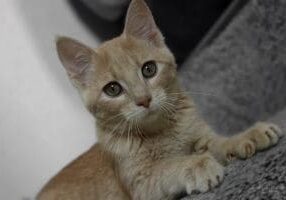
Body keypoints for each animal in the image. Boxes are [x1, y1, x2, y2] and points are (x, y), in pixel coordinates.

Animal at [36, 0, 282, 199]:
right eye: (113, 89)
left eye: (149, 69)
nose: (144, 99)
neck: (161, 132)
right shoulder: (141, 184)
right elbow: (167, 168)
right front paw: (197, 165)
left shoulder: (200, 136)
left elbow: (218, 142)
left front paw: (247, 135)